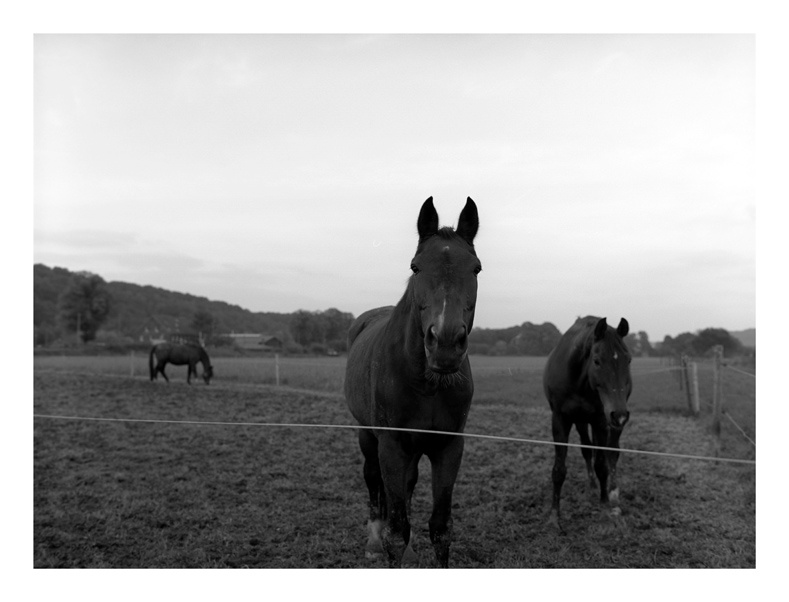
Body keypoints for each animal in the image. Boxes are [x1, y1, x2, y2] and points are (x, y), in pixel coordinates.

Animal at [344, 196, 481, 568]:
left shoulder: (448, 447)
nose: (445, 343)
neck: (427, 383)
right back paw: (373, 540)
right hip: (368, 435)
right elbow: (396, 530)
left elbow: (441, 528)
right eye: (416, 267)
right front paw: (386, 544)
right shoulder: (391, 446)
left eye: (476, 268)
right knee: (373, 481)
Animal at [542, 316, 632, 532]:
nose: (620, 414)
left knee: (612, 452)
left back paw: (613, 494)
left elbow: (602, 466)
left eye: (628, 359)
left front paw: (605, 509)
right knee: (587, 448)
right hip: (583, 421)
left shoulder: (601, 420)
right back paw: (592, 485)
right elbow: (559, 469)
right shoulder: (560, 419)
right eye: (597, 361)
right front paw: (554, 518)